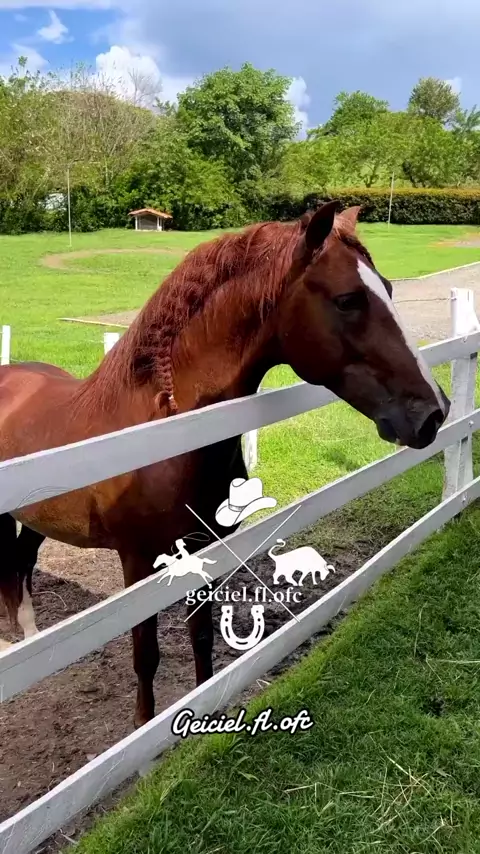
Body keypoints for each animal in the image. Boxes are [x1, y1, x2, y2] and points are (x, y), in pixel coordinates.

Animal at [0, 201, 450, 728]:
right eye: (347, 300)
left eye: (390, 290)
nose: (433, 412)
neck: (165, 433)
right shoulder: (137, 565)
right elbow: (145, 655)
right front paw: (143, 725)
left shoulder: (204, 551)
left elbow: (201, 638)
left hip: (36, 520)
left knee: (21, 565)